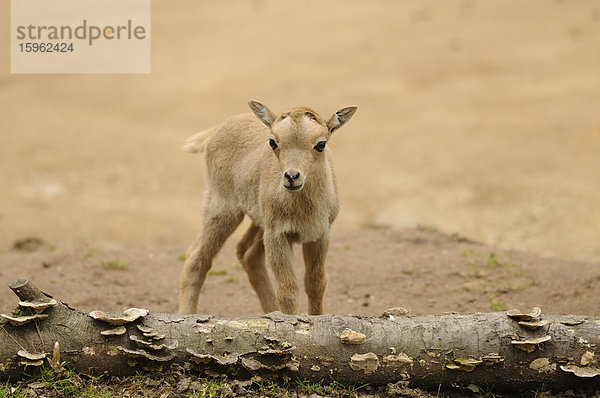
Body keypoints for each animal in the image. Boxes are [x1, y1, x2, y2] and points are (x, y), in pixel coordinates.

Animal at [178, 101, 356, 316]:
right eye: (273, 142)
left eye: (321, 144)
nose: (291, 177)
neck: (303, 210)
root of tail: (212, 134)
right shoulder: (277, 236)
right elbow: (288, 292)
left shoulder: (320, 235)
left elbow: (316, 283)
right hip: (222, 208)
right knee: (196, 258)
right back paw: (186, 313)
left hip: (257, 220)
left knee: (247, 254)